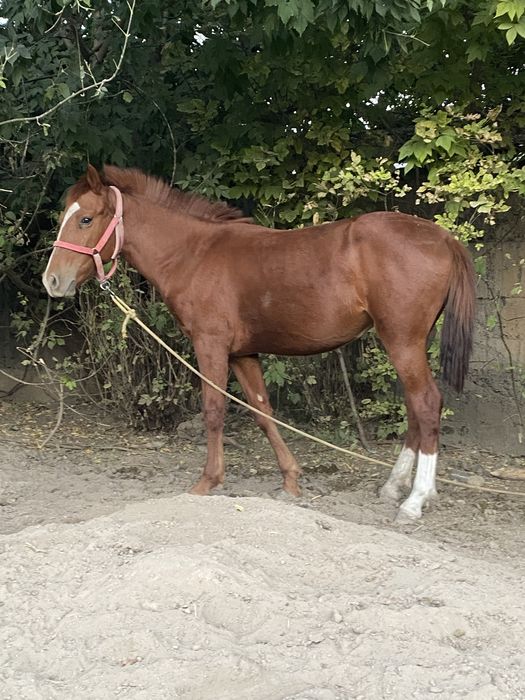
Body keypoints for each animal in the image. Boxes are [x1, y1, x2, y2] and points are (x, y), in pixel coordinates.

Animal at [43, 165, 476, 520]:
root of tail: (442, 237)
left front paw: (207, 482)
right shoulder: (242, 353)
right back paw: (394, 486)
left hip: (402, 341)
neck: (194, 254)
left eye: (85, 219)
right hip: (409, 343)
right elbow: (263, 412)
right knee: (415, 407)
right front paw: (291, 481)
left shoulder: (211, 346)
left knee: (426, 403)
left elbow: (214, 410)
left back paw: (415, 499)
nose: (52, 281)